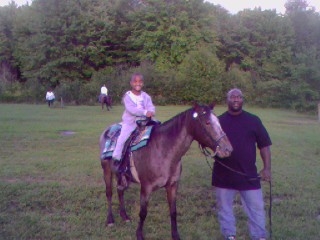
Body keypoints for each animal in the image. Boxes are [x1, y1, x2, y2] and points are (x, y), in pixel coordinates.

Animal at [98, 102, 232, 240]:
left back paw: (124, 216)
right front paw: (139, 234)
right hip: (107, 171)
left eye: (218, 121)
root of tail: (108, 130)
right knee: (109, 193)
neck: (162, 149)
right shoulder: (146, 187)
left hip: (123, 177)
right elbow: (143, 212)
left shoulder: (172, 185)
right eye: (207, 122)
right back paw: (110, 220)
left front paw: (175, 235)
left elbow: (173, 211)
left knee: (120, 191)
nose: (227, 149)